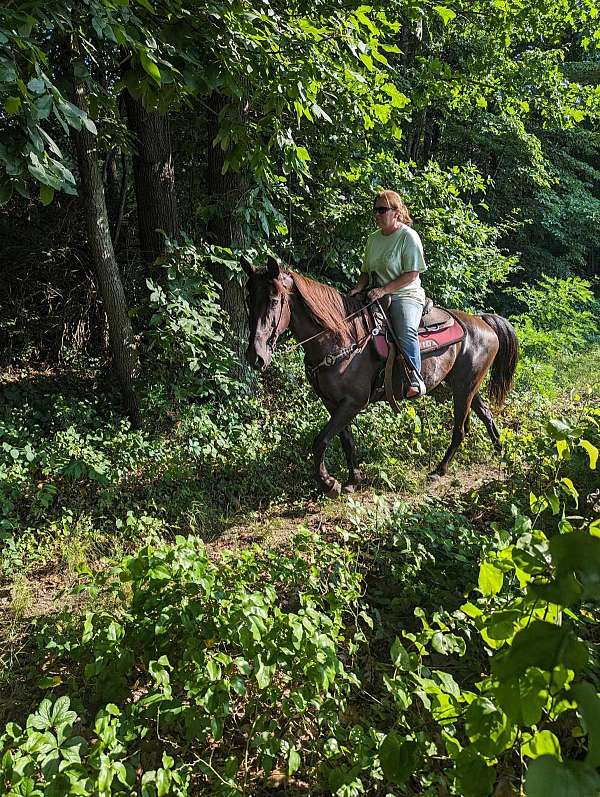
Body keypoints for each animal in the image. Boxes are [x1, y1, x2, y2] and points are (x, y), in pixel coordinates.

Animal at [241, 258, 516, 494]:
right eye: (249, 300)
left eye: (274, 300)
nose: (255, 356)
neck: (340, 338)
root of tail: (482, 321)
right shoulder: (333, 402)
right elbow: (346, 440)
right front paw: (353, 480)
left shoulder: (354, 402)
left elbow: (320, 441)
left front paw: (329, 483)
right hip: (466, 387)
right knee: (486, 415)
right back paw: (501, 453)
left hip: (463, 389)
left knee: (460, 430)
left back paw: (439, 470)